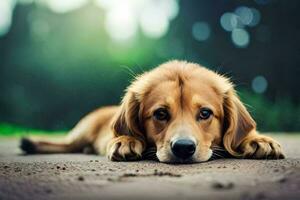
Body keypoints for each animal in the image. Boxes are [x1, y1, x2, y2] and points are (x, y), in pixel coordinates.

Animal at [19, 60, 284, 162]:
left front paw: (258, 140)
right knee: (63, 144)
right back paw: (31, 143)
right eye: (160, 114)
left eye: (205, 113)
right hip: (82, 131)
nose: (184, 148)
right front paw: (125, 141)